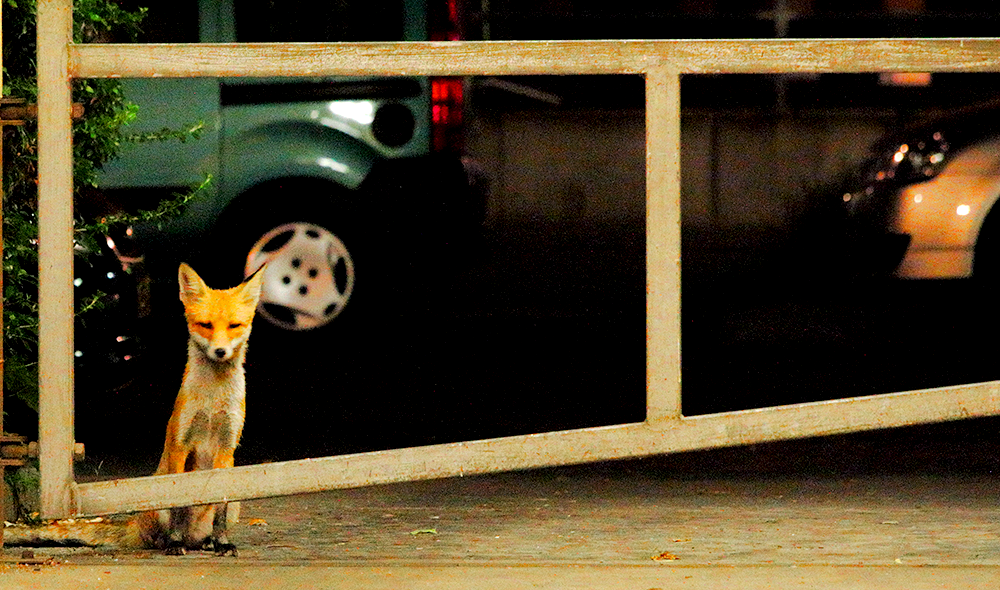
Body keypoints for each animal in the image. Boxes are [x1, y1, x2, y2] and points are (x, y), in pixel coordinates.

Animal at [133, 262, 266, 556]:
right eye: (206, 325)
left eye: (234, 326)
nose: (220, 351)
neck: (213, 400)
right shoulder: (181, 443)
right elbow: (179, 504)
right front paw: (174, 542)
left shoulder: (227, 445)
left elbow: (220, 506)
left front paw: (223, 543)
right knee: (157, 531)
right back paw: (171, 541)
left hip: (238, 501)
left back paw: (207, 542)